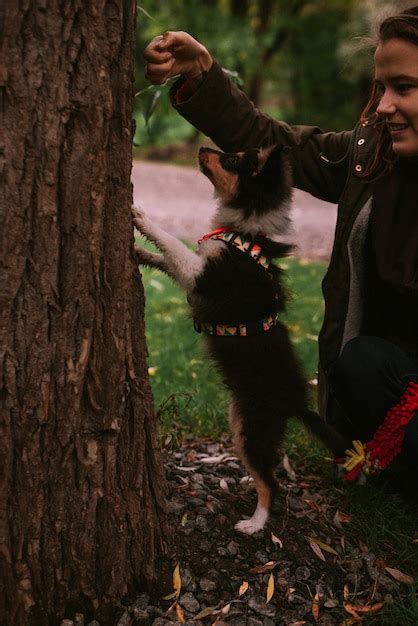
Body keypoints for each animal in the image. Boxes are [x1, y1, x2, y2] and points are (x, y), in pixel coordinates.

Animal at [132, 144, 348, 532]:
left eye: (233, 159)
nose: (202, 147)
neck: (244, 234)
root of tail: (296, 403)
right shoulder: (197, 276)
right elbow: (167, 258)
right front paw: (141, 254)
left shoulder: (206, 276)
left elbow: (175, 245)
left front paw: (140, 218)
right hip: (240, 420)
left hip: (252, 426)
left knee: (271, 482)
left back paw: (255, 523)